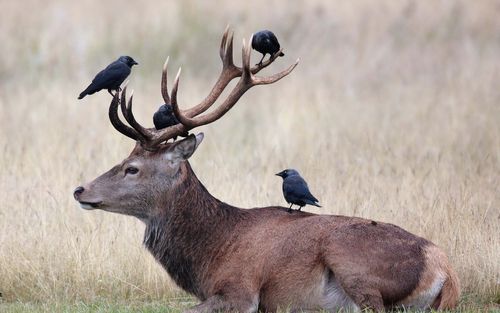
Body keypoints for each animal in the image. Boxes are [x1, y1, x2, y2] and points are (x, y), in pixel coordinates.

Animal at [72, 27, 458, 312]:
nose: (80, 189)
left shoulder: (241, 290)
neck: (210, 253)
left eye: (132, 168)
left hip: (352, 261)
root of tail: (444, 269)